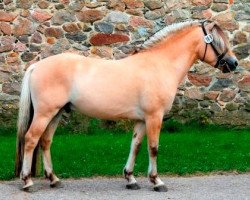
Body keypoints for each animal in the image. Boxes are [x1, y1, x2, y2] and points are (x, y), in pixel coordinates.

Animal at [15, 19, 238, 191]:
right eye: (217, 41)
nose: (234, 63)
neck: (159, 65)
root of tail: (36, 66)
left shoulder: (141, 120)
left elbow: (136, 146)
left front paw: (130, 178)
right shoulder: (154, 117)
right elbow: (153, 148)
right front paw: (157, 181)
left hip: (57, 113)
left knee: (45, 142)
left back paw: (54, 179)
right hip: (45, 113)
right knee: (31, 139)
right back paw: (27, 182)